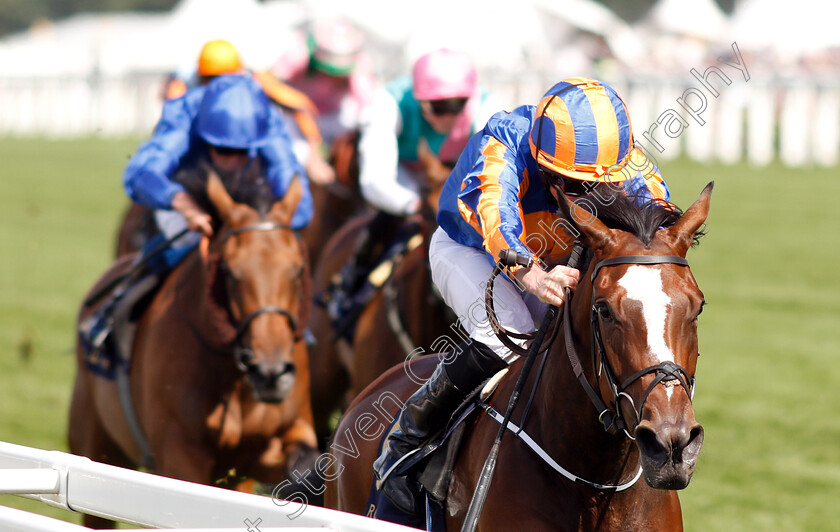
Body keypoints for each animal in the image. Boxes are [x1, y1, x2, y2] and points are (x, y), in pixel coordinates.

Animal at [68, 171, 318, 528]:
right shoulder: (179, 457)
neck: (235, 381)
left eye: (297, 269)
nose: (271, 374)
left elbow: (305, 465)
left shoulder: (266, 448)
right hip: (97, 448)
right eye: (228, 271)